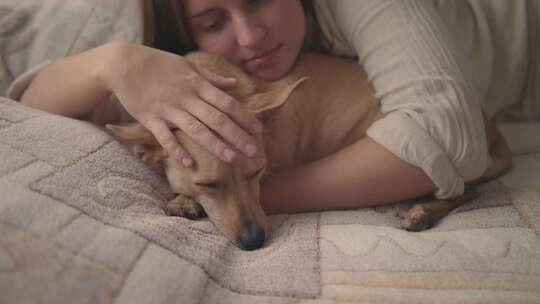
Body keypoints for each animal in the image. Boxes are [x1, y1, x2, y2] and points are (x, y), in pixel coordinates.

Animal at [89, 52, 516, 251]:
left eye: (257, 174)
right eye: (209, 183)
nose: (254, 241)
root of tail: (491, 131)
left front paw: (181, 200)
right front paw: (184, 198)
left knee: (467, 189)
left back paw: (424, 211)